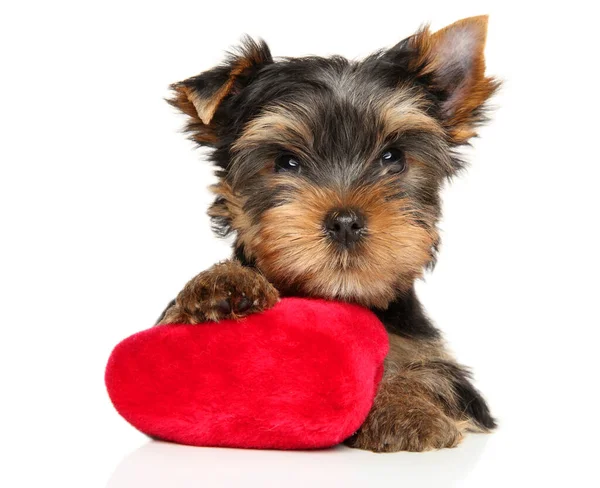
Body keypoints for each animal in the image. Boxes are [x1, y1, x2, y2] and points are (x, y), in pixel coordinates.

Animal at [157, 17, 500, 454]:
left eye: (393, 158)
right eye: (286, 162)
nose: (345, 221)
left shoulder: (445, 369)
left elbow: (428, 372)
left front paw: (404, 409)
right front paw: (220, 285)